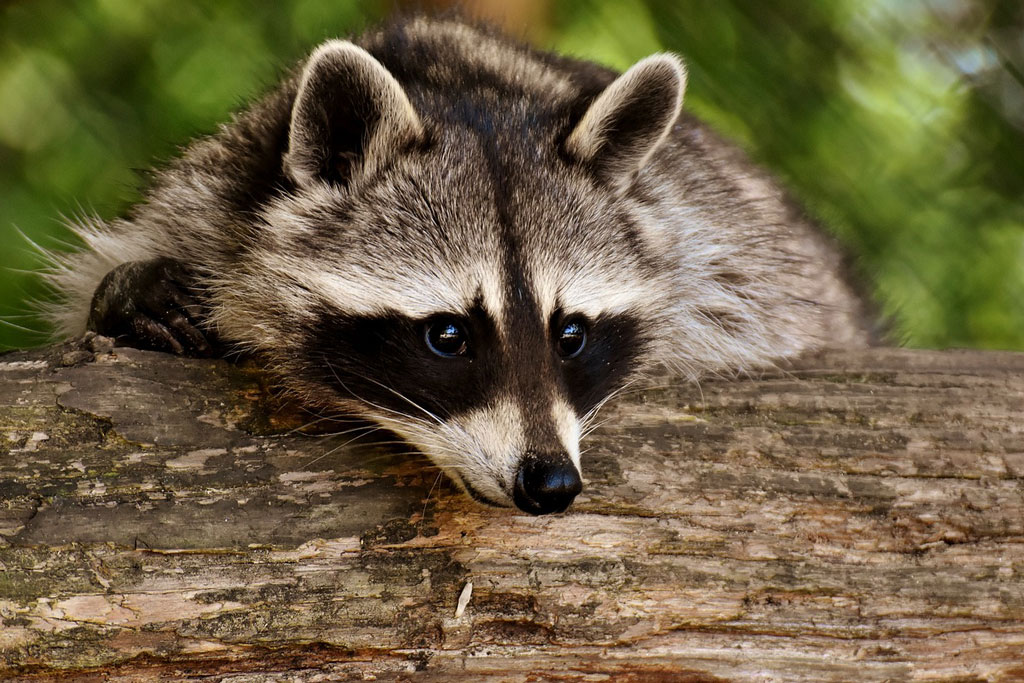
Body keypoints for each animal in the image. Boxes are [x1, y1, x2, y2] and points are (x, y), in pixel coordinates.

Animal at [44, 17, 868, 511]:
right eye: (447, 336)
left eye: (571, 334)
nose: (551, 483)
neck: (461, 86)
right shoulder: (206, 195)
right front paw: (130, 295)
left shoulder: (719, 244)